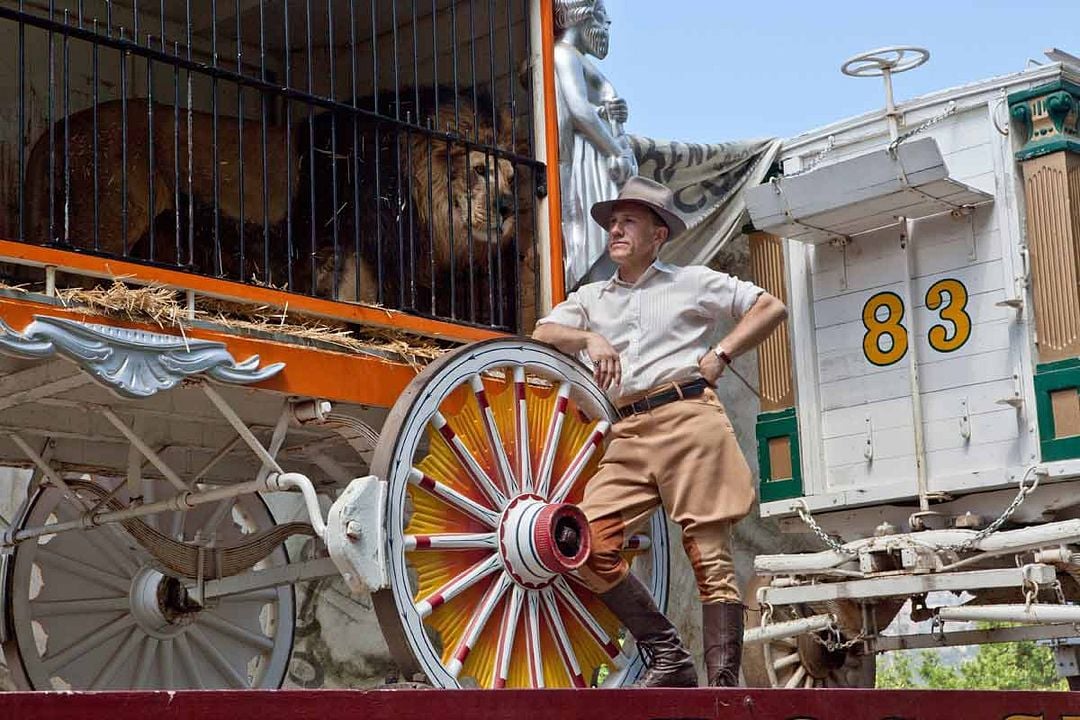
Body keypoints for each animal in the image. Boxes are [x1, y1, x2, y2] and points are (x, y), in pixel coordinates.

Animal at [23, 85, 529, 328]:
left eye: (510, 178)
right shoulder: (350, 250)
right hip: (113, 217)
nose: (508, 210)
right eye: (481, 171)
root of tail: (52, 135)